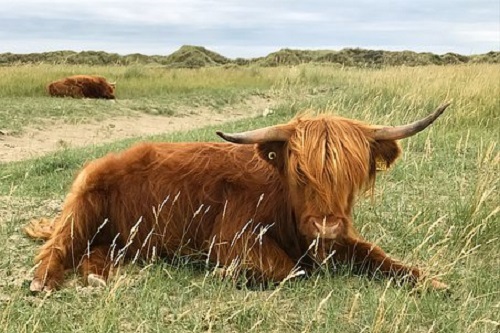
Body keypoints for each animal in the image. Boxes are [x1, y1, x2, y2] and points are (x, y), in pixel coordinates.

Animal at [25, 101, 452, 290]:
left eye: (354, 173)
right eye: (300, 172)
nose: (326, 224)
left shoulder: (337, 241)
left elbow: (380, 257)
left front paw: (431, 281)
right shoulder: (233, 239)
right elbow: (288, 270)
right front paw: (230, 274)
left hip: (120, 239)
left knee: (95, 252)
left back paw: (98, 276)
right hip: (82, 208)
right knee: (58, 247)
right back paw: (43, 281)